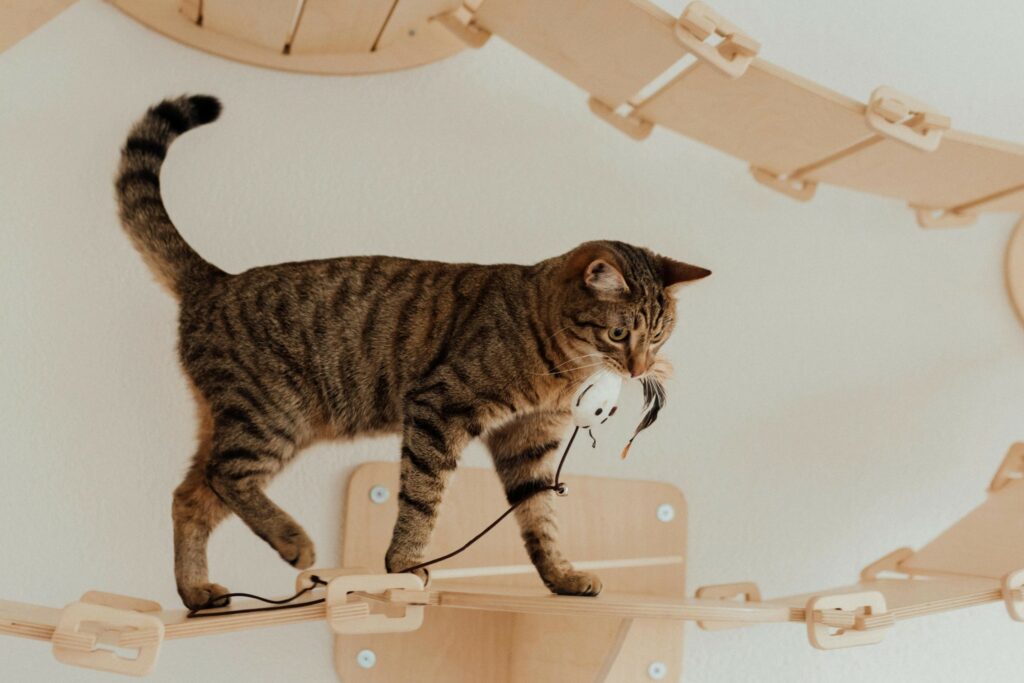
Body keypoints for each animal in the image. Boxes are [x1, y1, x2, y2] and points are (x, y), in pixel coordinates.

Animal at [116, 94, 712, 610]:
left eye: (659, 335)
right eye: (620, 335)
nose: (638, 368)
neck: (557, 361)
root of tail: (215, 280)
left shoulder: (527, 440)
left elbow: (540, 517)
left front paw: (562, 576)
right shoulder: (439, 405)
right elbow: (423, 499)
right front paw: (402, 565)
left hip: (244, 421)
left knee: (188, 496)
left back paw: (195, 591)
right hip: (274, 415)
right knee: (226, 476)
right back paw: (293, 542)